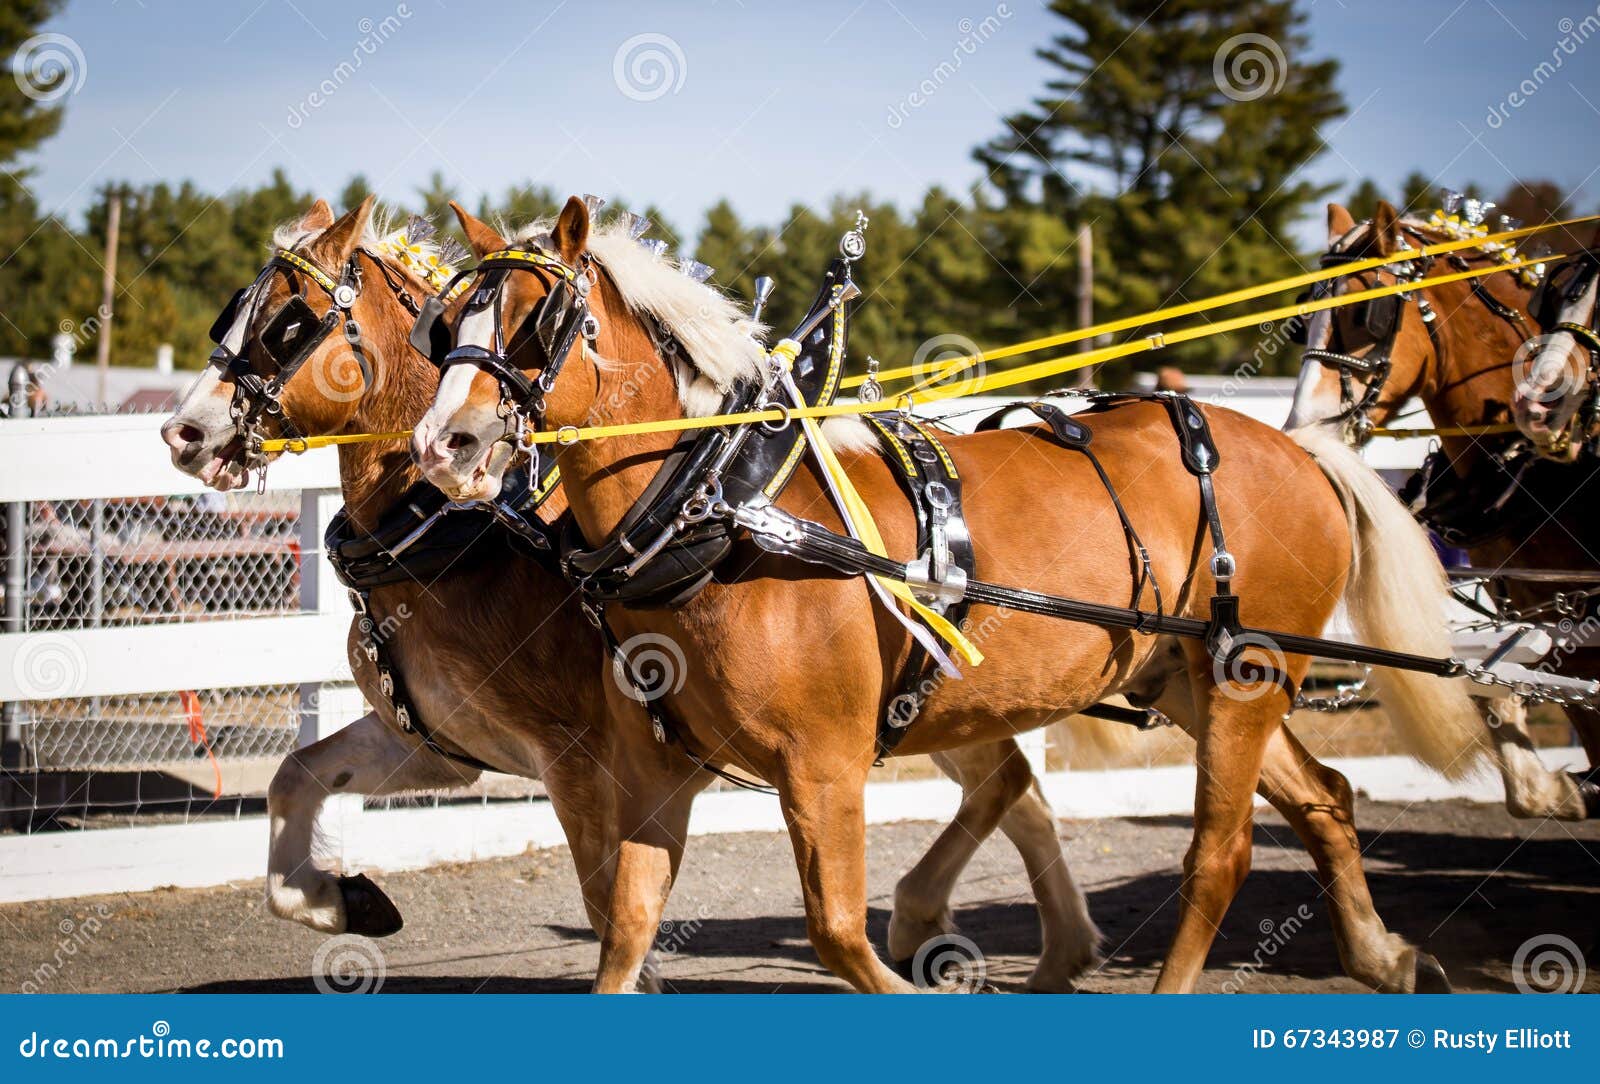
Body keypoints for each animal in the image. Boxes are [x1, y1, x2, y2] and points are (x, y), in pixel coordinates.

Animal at [159, 196, 1101, 993]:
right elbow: (295, 780)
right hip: (931, 700)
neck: (453, 533)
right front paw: (341, 900)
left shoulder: (576, 755)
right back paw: (1034, 943)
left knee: (1006, 781)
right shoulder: (441, 742)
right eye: (228, 314)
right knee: (1014, 782)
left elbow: (605, 897)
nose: (182, 431)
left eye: (285, 322)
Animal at [414, 194, 1490, 993]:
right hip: (1185, 676)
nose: (442, 445)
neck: (723, 504)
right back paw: (1381, 954)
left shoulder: (824, 767)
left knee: (1218, 857)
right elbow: (630, 928)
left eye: (540, 320)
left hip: (1243, 681)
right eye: (444, 328)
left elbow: (838, 932)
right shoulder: (652, 769)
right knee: (1325, 799)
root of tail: (1300, 449)